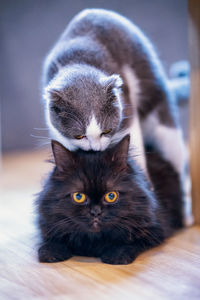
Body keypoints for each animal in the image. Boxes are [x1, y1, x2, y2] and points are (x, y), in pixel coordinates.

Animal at [36, 136, 183, 264]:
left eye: (111, 196)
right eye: (79, 197)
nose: (95, 212)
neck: (93, 241)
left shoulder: (155, 229)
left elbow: (131, 242)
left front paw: (117, 255)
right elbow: (51, 240)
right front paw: (51, 252)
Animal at [42, 8, 188, 176]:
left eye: (106, 131)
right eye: (79, 136)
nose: (96, 148)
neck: (76, 63)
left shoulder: (127, 117)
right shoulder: (58, 133)